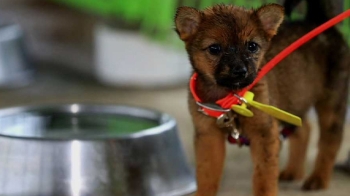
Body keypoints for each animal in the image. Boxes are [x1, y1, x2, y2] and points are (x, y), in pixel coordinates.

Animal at [175, 0, 350, 196]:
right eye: (214, 49)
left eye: (252, 46)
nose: (240, 71)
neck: (230, 98)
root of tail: (318, 19)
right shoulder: (208, 136)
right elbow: (206, 175)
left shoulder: (264, 133)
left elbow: (264, 177)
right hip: (292, 100)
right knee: (305, 129)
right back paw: (294, 171)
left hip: (331, 103)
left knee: (330, 141)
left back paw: (318, 178)